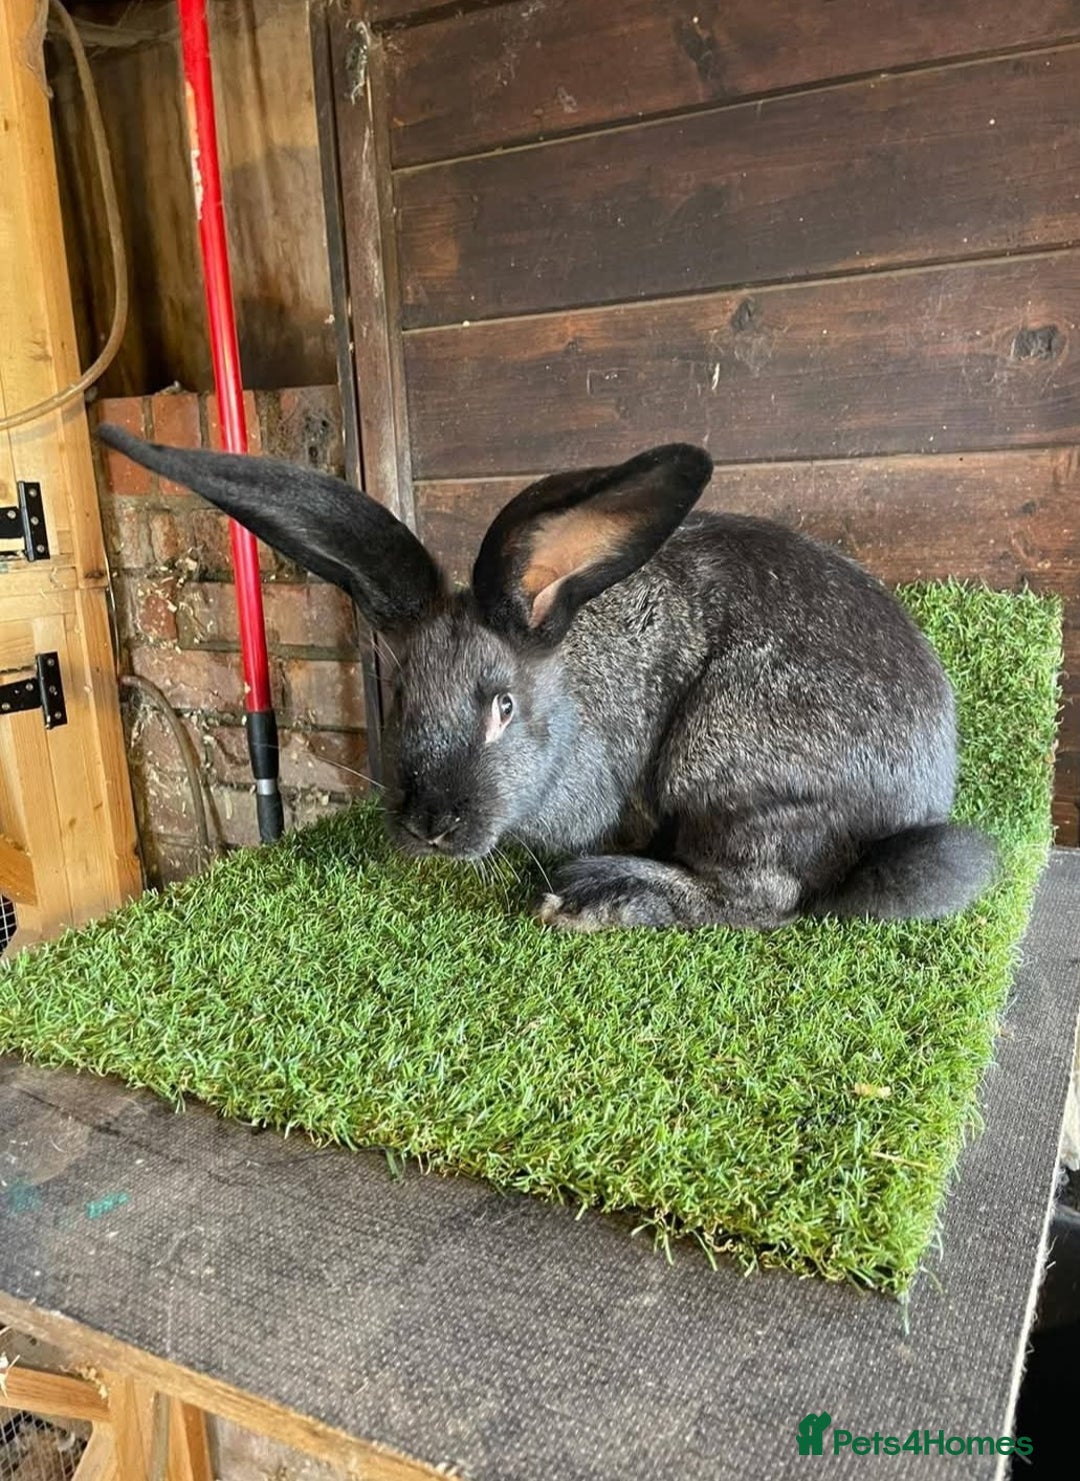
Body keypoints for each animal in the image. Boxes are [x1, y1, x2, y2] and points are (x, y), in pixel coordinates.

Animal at [98, 425, 996, 932]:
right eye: (399, 697)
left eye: (502, 706)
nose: (431, 826)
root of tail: (911, 806)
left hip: (729, 763)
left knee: (766, 899)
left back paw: (599, 898)